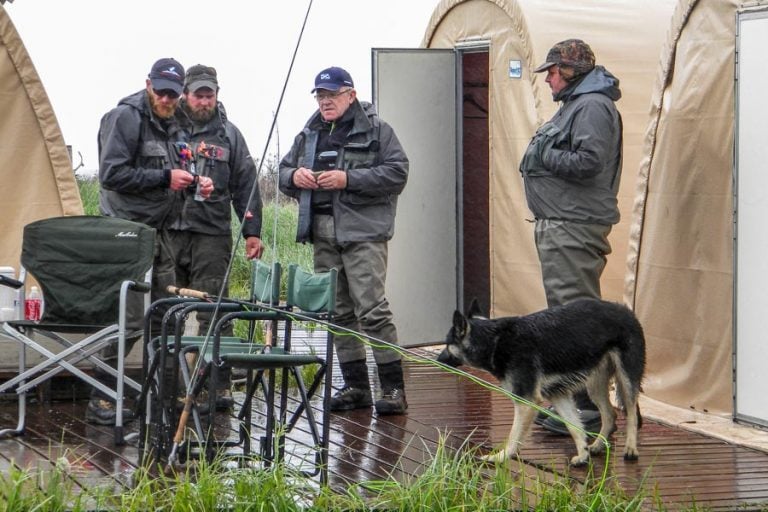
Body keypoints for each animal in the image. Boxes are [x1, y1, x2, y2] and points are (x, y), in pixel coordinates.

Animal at [448, 298, 644, 466]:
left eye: (447, 345)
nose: (441, 360)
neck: (494, 341)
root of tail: (626, 310)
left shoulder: (526, 402)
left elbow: (514, 436)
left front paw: (501, 457)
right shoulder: (558, 395)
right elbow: (574, 427)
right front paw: (583, 455)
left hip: (626, 379)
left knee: (632, 413)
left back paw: (631, 448)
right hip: (595, 385)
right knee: (610, 414)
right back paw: (597, 445)